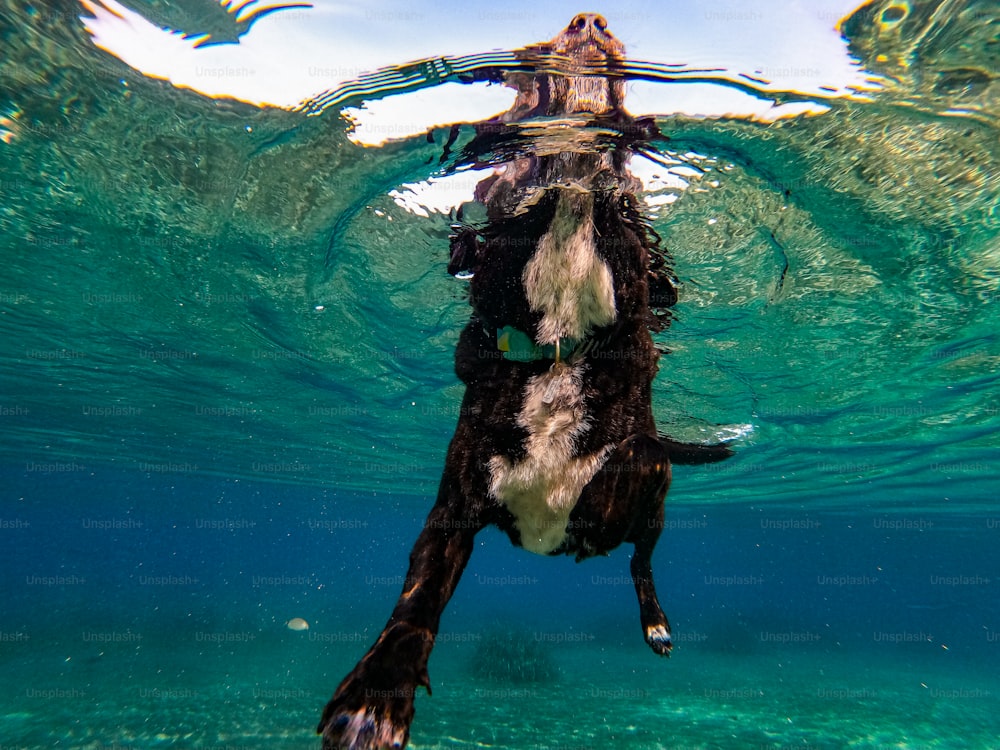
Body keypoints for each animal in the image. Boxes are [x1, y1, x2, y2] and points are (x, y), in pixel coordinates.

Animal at [322, 13, 736, 750]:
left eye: (630, 213)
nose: (588, 23)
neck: (556, 354)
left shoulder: (638, 458)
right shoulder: (451, 512)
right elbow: (417, 601)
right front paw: (376, 694)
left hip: (650, 496)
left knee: (643, 557)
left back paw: (655, 621)